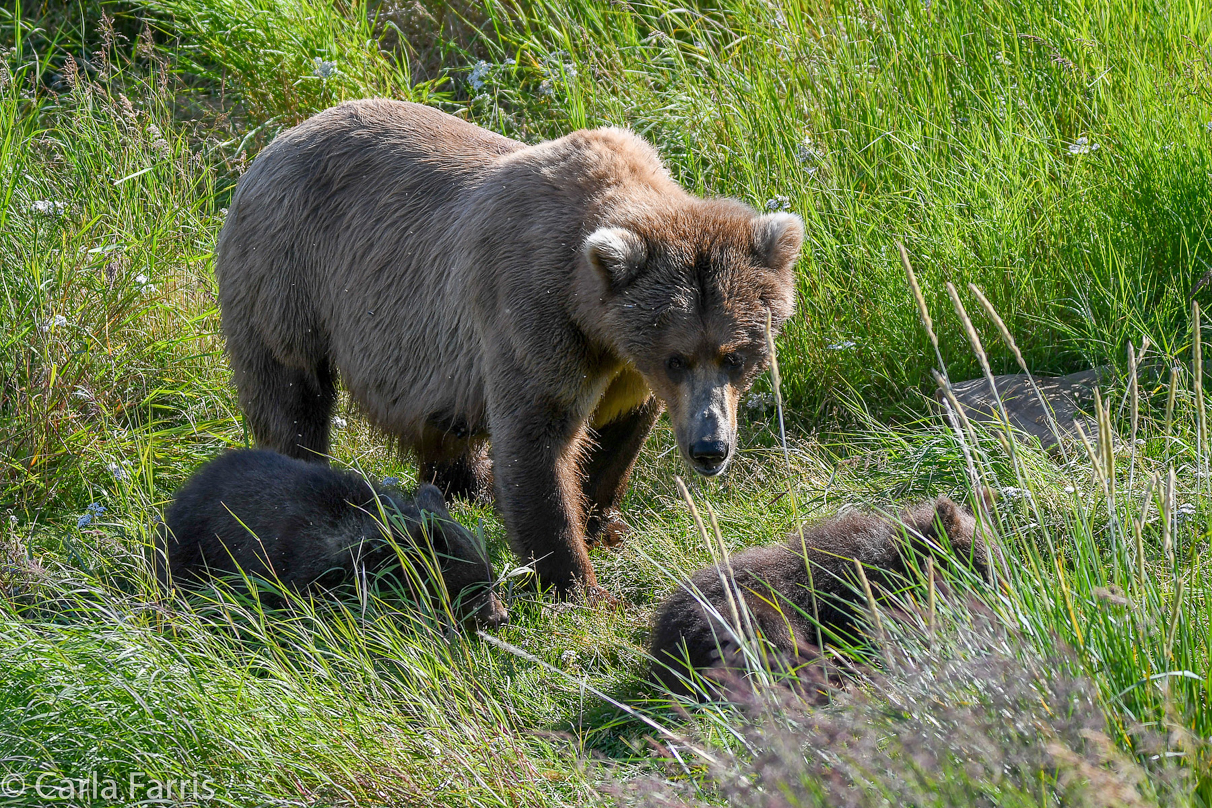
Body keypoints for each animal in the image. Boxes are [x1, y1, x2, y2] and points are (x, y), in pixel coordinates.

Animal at [215, 98, 804, 598]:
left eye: (735, 355)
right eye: (677, 357)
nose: (711, 449)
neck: (595, 317)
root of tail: (272, 145)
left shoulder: (625, 367)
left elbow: (619, 432)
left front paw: (601, 521)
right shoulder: (532, 312)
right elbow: (536, 439)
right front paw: (577, 584)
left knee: (442, 429)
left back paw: (464, 491)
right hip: (289, 278)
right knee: (291, 399)